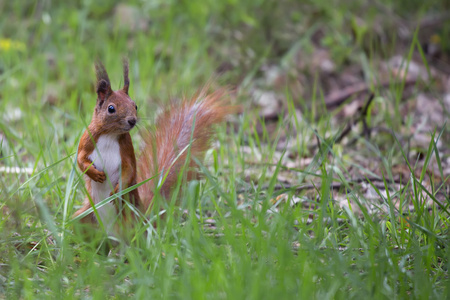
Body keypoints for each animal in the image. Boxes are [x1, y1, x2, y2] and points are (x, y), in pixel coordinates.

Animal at [72, 59, 234, 237]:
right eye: (111, 108)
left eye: (135, 105)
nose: (132, 121)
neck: (110, 134)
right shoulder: (87, 139)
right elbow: (80, 159)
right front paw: (94, 173)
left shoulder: (126, 150)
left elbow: (129, 170)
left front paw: (118, 191)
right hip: (81, 219)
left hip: (130, 222)